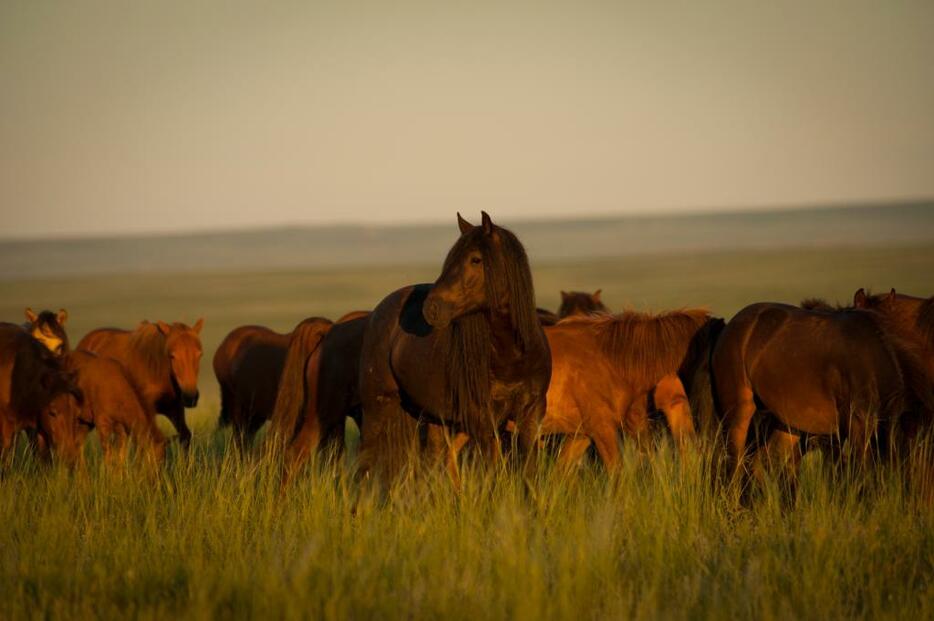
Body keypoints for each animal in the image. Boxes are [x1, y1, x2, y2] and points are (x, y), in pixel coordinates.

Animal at [356, 211, 548, 482]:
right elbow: (491, 472)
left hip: (431, 417)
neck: (512, 356)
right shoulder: (483, 422)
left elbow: (529, 472)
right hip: (377, 408)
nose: (431, 308)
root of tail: (378, 312)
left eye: (476, 260)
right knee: (364, 465)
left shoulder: (531, 415)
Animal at [712, 302, 932, 484]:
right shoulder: (858, 423)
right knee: (735, 463)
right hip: (739, 414)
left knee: (764, 462)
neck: (872, 362)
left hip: (787, 424)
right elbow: (861, 470)